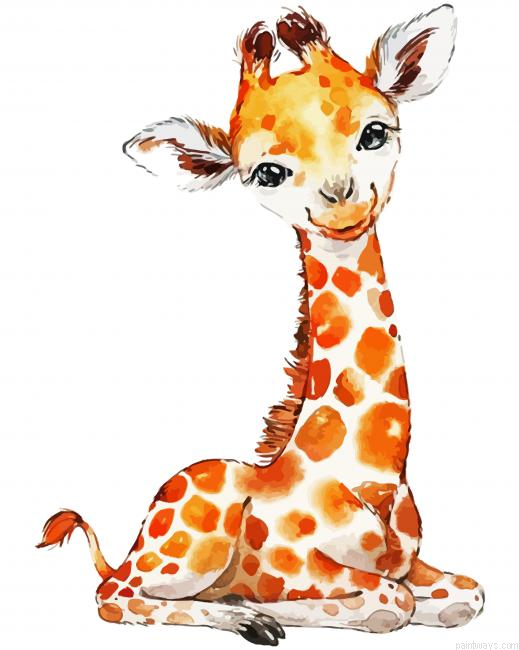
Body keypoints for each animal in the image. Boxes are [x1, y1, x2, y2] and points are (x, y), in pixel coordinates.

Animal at [38, 6, 484, 644]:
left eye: (375, 132)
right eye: (268, 172)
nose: (342, 200)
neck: (370, 477)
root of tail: (132, 544)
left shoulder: (415, 561)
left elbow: (464, 596)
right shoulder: (302, 564)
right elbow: (387, 604)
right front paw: (267, 607)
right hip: (185, 551)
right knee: (113, 595)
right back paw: (247, 617)